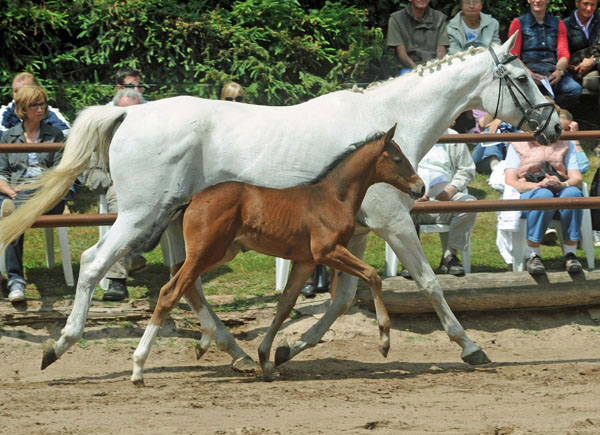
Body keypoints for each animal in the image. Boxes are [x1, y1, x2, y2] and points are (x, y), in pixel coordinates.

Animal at [134, 124, 424, 384]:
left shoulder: (306, 261)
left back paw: (203, 341)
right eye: (398, 159)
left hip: (218, 253)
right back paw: (138, 367)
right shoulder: (327, 252)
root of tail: (193, 198)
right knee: (171, 290)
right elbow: (373, 275)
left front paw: (267, 359)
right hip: (207, 252)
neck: (333, 198)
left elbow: (285, 305)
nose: (420, 187)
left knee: (182, 279)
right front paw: (384, 341)